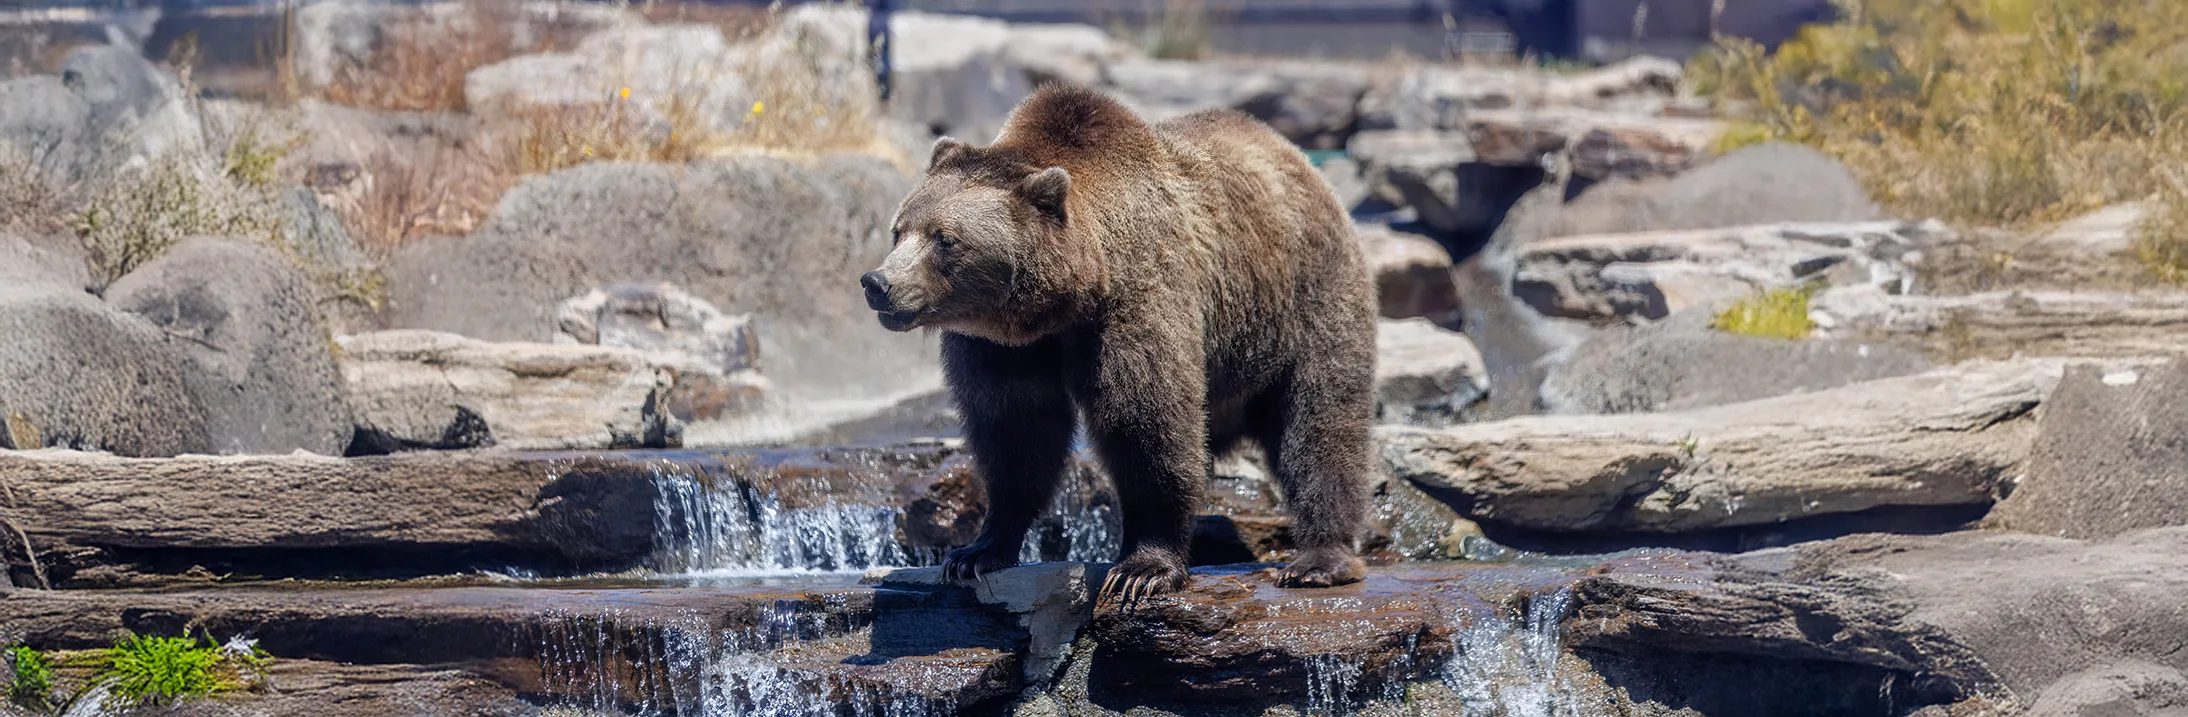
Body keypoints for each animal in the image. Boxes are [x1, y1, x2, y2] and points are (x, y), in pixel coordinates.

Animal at [858, 84, 1376, 599]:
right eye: (899, 230)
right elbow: (1015, 432)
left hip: (1304, 301)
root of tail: (1297, 158)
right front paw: (975, 552)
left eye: (945, 239)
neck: (1063, 304)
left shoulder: (1134, 307)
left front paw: (1141, 569)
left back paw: (1319, 559)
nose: (878, 283)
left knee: (1319, 424)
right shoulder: (1001, 348)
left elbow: (1147, 424)